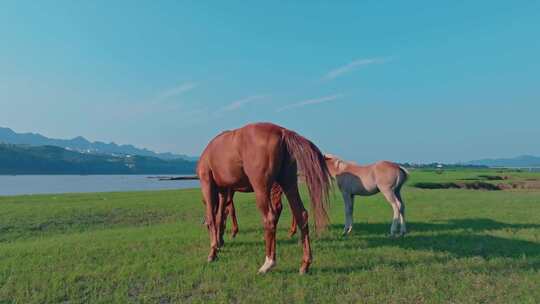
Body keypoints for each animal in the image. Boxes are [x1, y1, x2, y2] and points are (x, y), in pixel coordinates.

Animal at [196, 122, 330, 274]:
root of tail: (282, 131)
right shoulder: (224, 191)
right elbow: (220, 217)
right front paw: (219, 242)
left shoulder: (207, 183)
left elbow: (212, 219)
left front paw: (213, 251)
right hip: (289, 184)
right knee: (301, 214)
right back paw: (305, 264)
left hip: (262, 188)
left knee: (270, 218)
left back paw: (268, 263)